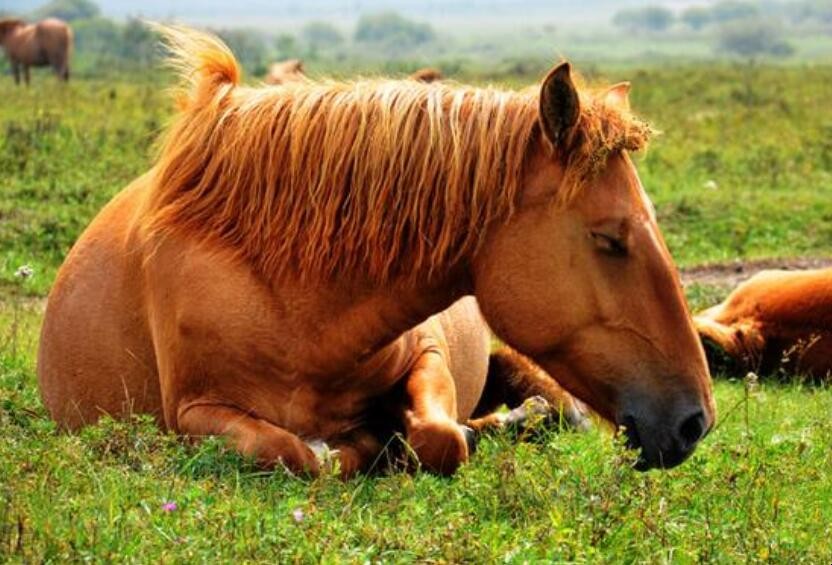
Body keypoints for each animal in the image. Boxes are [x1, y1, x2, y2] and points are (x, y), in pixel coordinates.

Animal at [37, 26, 716, 476]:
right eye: (609, 239)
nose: (695, 420)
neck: (294, 303)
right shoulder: (193, 413)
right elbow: (292, 452)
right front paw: (361, 444)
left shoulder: (429, 352)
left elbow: (441, 437)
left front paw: (398, 437)